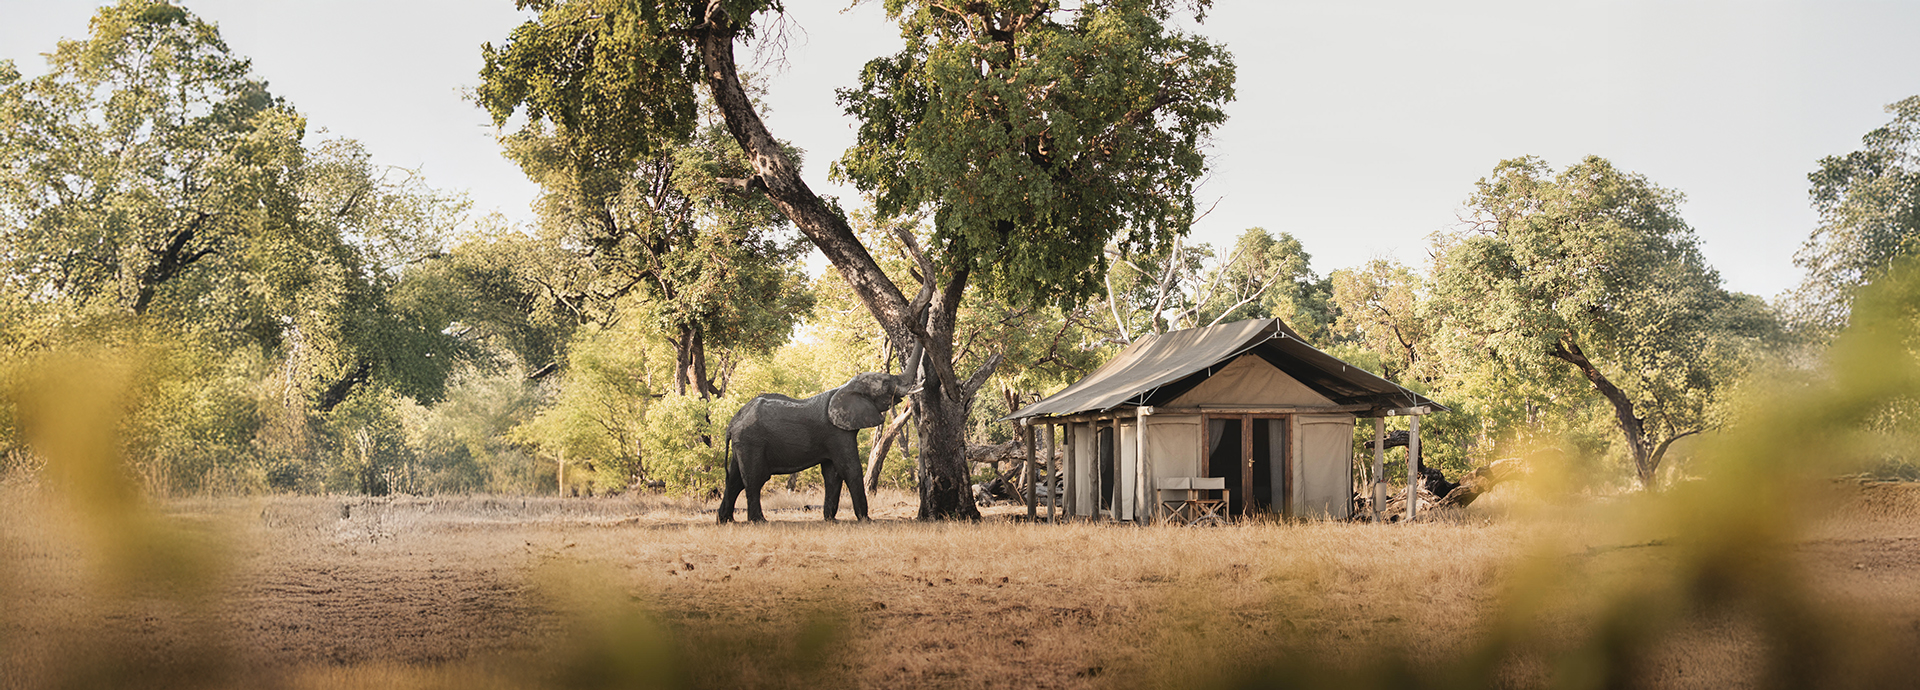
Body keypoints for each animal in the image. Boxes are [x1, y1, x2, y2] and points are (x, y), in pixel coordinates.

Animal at [719, 370, 918, 523]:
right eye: (886, 383)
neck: (845, 388)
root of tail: (732, 423)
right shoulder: (836, 432)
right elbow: (850, 469)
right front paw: (866, 520)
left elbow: (833, 474)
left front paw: (830, 520)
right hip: (752, 442)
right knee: (754, 479)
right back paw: (759, 521)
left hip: (741, 444)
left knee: (734, 480)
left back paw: (725, 521)